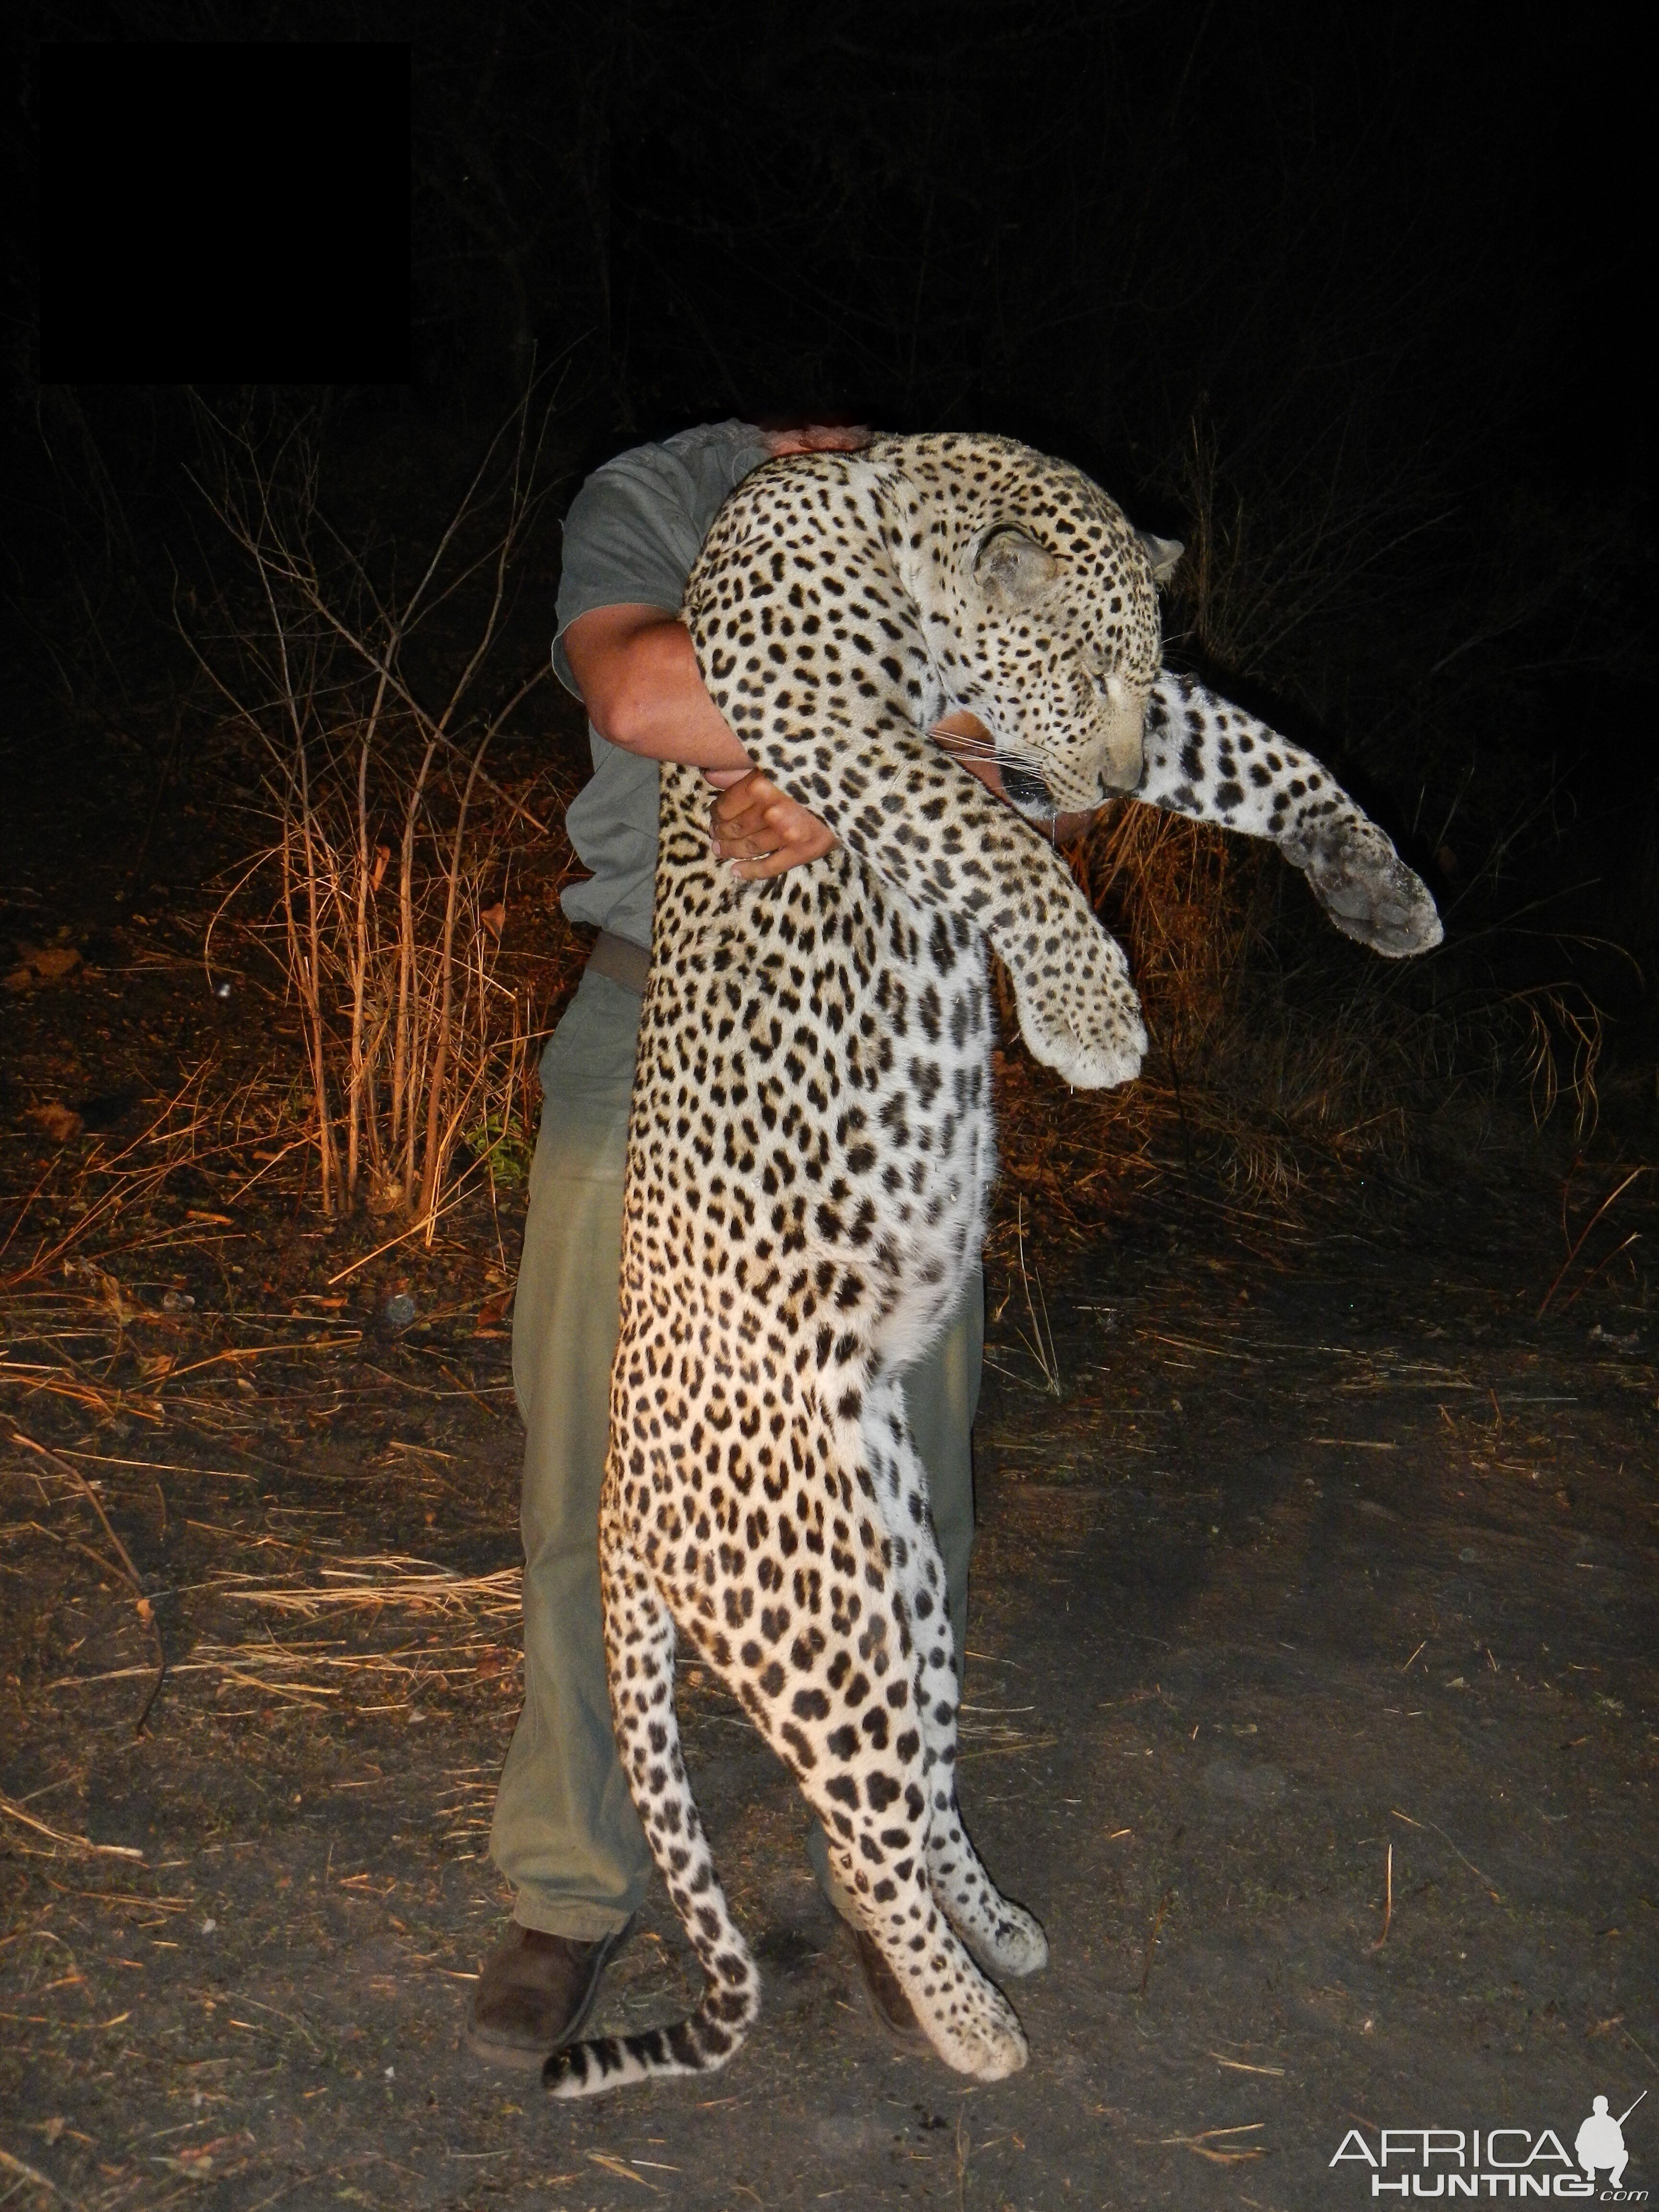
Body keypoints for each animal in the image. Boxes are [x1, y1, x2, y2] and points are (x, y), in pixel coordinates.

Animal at [548, 427, 1442, 2088]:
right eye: (1081, 661)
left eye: (1134, 670)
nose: (1110, 790)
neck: (884, 522)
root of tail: (622, 1513)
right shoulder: (810, 708)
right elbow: (981, 836)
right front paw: (1091, 1018)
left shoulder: (1100, 723)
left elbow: (1259, 750)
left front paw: (1379, 884)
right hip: (822, 1604)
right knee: (864, 1822)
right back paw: (972, 2028)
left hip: (905, 1563)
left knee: (912, 1786)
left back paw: (996, 1933)